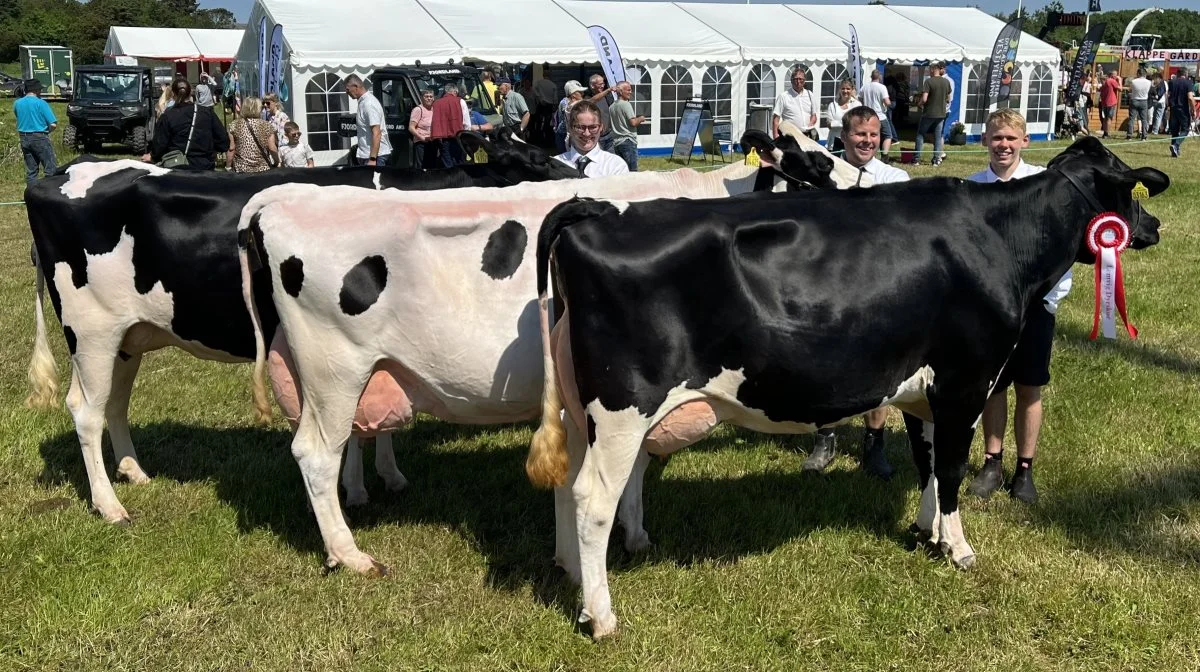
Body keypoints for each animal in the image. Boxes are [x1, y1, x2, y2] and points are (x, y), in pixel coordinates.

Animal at [22, 131, 576, 525]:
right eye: (534, 159)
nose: (579, 170)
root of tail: (59, 172)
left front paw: (384, 475)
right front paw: (358, 488)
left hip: (128, 335)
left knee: (114, 402)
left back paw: (134, 472)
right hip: (90, 329)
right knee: (85, 410)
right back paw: (109, 505)